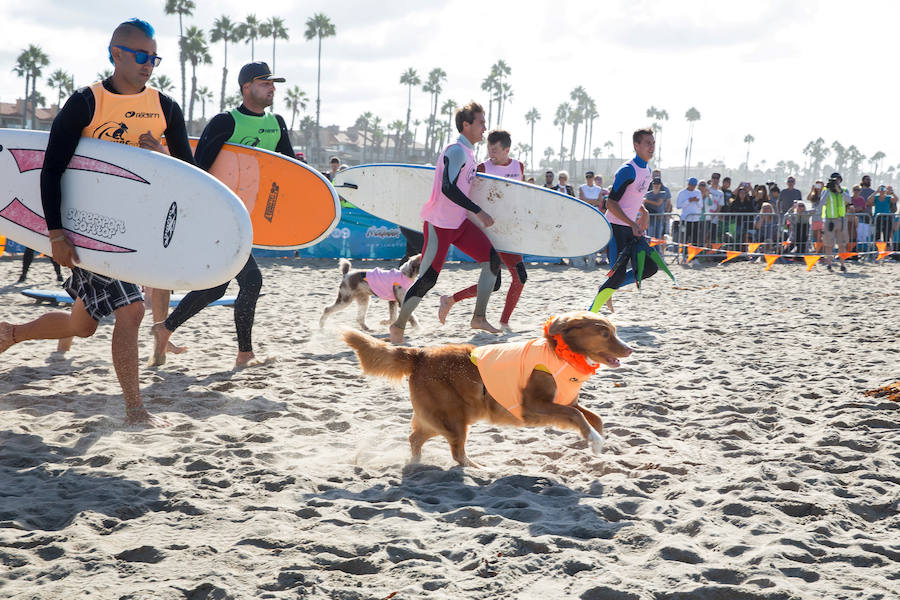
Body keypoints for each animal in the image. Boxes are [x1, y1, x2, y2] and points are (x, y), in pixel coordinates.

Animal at [344, 312, 632, 466]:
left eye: (614, 331)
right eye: (604, 333)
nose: (630, 350)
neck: (560, 352)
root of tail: (421, 354)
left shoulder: (563, 402)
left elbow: (594, 417)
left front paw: (597, 443)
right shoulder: (534, 406)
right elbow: (578, 415)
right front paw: (594, 440)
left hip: (440, 417)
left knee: (415, 438)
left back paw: (416, 464)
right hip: (453, 418)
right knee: (457, 453)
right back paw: (479, 469)